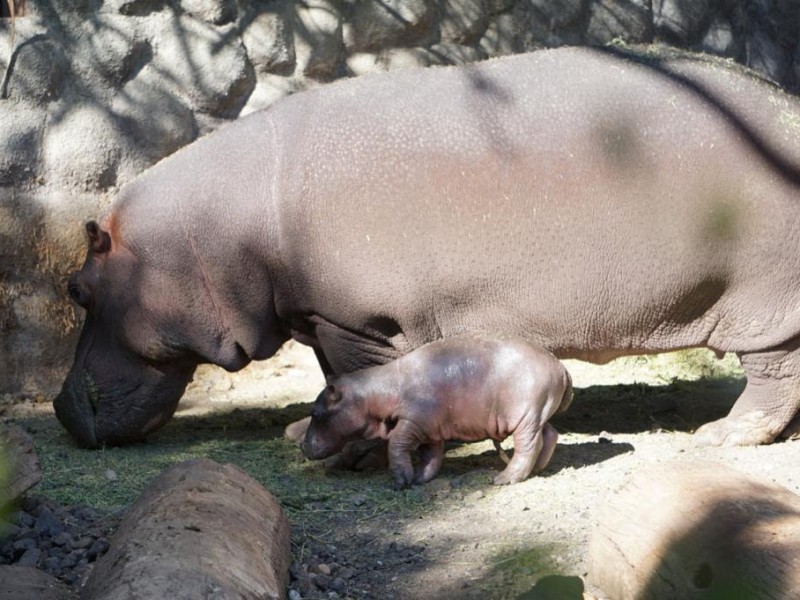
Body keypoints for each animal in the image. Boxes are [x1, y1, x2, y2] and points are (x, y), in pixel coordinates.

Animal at [56, 47, 800, 448]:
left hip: (760, 300)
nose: (59, 408)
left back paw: (722, 436)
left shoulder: (353, 321)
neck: (212, 235)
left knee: (774, 374)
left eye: (77, 290)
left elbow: (350, 375)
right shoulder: (324, 315)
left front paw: (315, 432)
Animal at [304, 336, 572, 490]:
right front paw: (419, 479)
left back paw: (503, 479)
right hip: (537, 414)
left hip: (526, 416)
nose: (302, 446)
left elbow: (395, 445)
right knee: (550, 434)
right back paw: (538, 470)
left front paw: (401, 481)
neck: (373, 393)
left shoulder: (412, 422)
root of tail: (560, 366)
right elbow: (431, 457)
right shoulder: (429, 430)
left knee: (528, 446)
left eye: (315, 413)